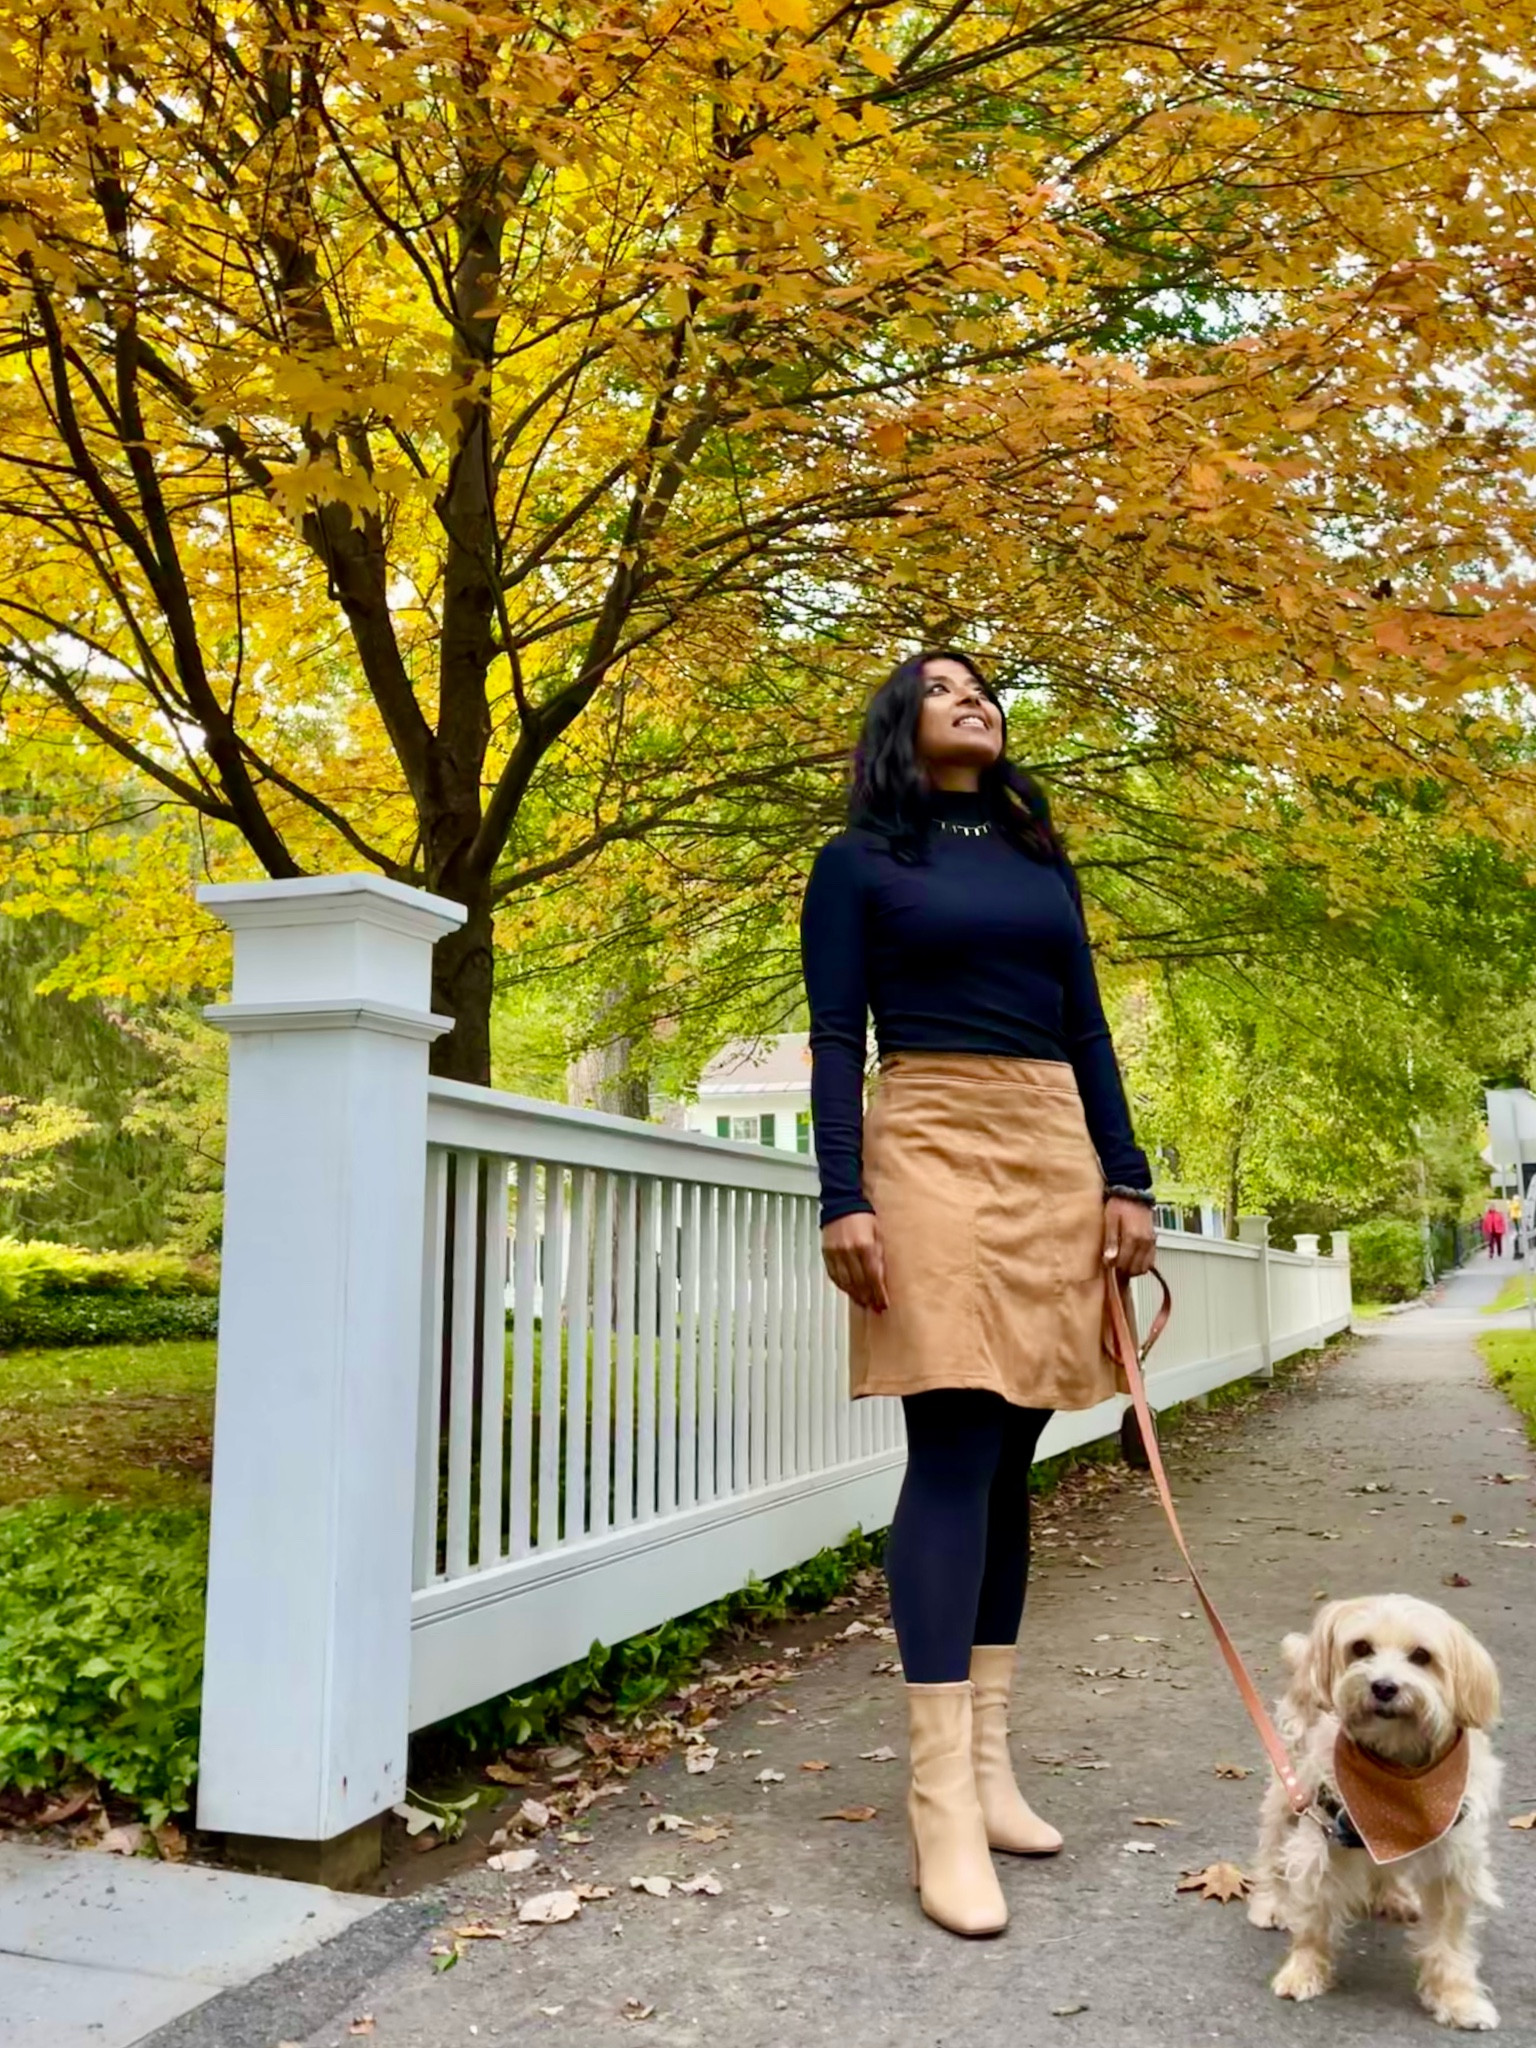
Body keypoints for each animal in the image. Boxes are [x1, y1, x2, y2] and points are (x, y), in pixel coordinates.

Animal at [1253, 1589, 1507, 2023]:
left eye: (1421, 1655)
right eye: (1361, 1648)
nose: (1383, 1687)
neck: (1397, 1766)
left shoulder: (1455, 1860)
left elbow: (1450, 1941)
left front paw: (1456, 1998)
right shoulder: (1324, 1836)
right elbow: (1314, 1917)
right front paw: (1303, 1970)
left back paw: (1393, 1896)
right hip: (1290, 1785)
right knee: (1272, 1840)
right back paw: (1270, 1901)